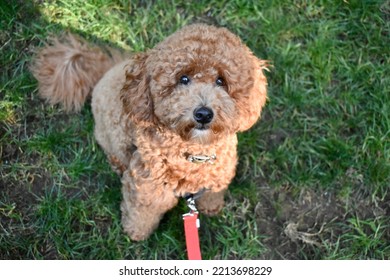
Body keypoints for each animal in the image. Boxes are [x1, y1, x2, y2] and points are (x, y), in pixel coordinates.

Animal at [32, 24, 266, 241]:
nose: (203, 113)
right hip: (111, 133)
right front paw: (136, 233)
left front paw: (212, 207)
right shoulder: (148, 186)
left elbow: (212, 193)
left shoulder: (220, 173)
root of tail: (107, 70)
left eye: (221, 81)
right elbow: (142, 212)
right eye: (183, 79)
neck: (193, 153)